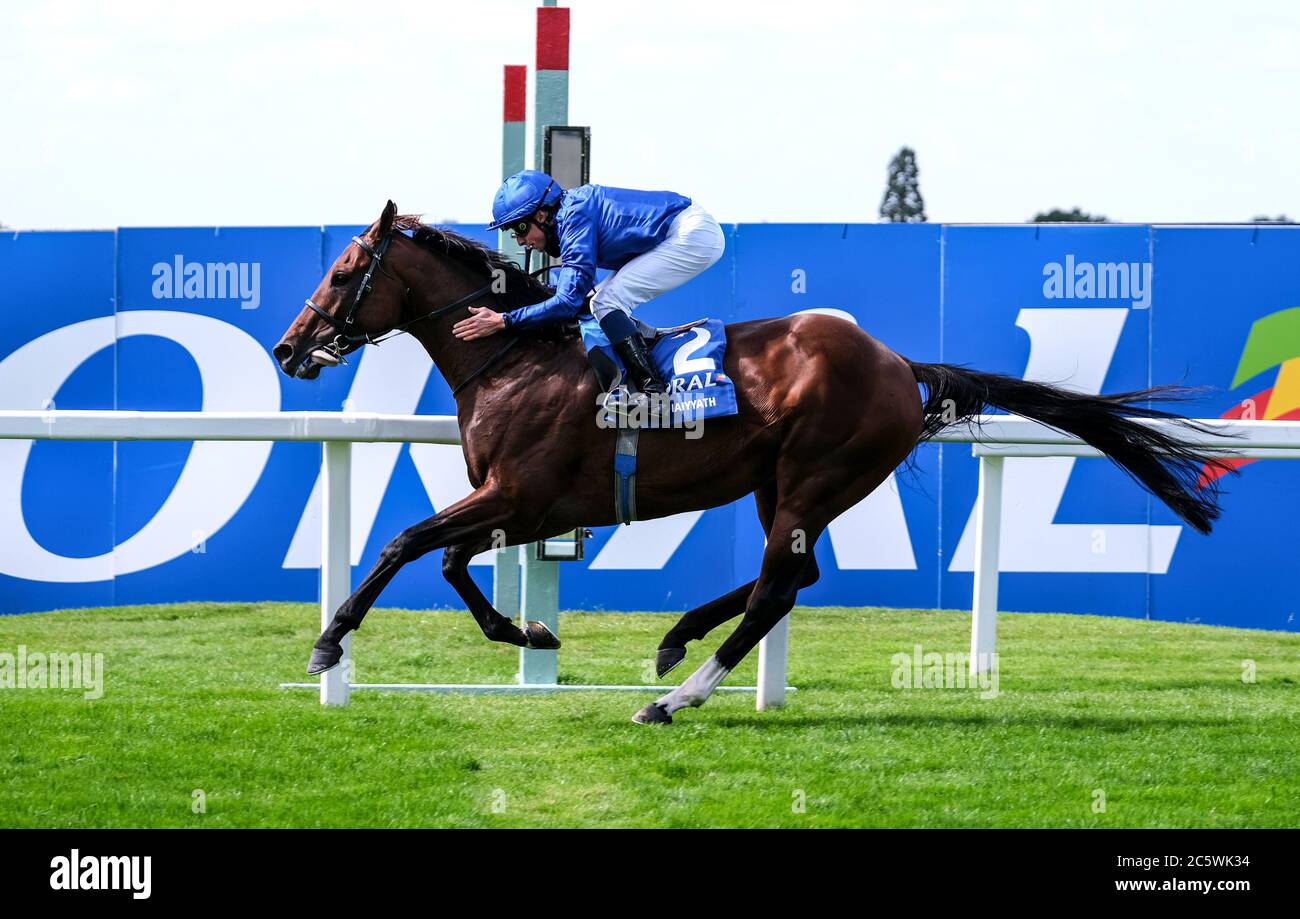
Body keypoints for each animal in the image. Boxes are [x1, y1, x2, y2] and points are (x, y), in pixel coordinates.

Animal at [274, 201, 1227, 727]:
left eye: (345, 269)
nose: (288, 349)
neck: (515, 357)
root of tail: (899, 361)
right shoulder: (521, 505)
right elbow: (446, 560)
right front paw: (528, 631)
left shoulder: (519, 492)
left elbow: (405, 543)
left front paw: (327, 644)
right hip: (782, 483)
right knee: (794, 576)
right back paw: (675, 640)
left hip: (815, 474)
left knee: (777, 587)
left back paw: (673, 697)